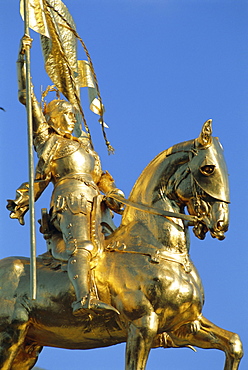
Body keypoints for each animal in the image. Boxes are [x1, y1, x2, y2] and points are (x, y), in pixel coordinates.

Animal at [0, 120, 243, 368]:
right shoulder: (143, 323)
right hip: (10, 335)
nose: (221, 223)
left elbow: (235, 343)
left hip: (28, 346)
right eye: (208, 169)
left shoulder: (184, 325)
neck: (159, 249)